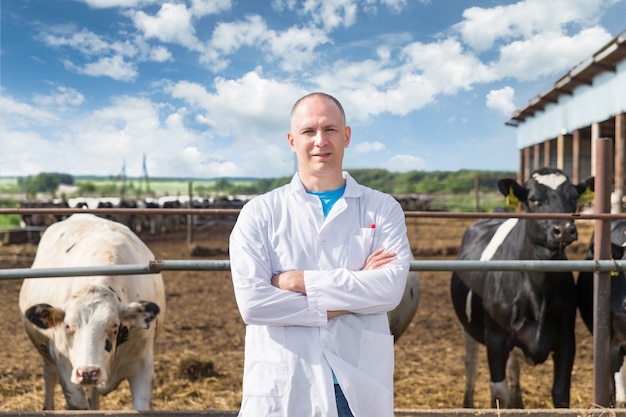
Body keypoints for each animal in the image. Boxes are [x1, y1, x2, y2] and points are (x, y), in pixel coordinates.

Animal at [18, 213, 166, 408]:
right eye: (67, 326)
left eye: (115, 325)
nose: (87, 373)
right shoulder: (63, 364)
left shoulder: (143, 364)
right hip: (48, 357)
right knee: (50, 375)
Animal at [448, 167, 588, 408]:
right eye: (533, 200)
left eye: (574, 198)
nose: (563, 229)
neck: (539, 291)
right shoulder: (496, 340)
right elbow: (498, 393)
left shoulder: (567, 340)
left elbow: (561, 393)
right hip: (467, 327)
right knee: (471, 364)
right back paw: (468, 403)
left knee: (514, 365)